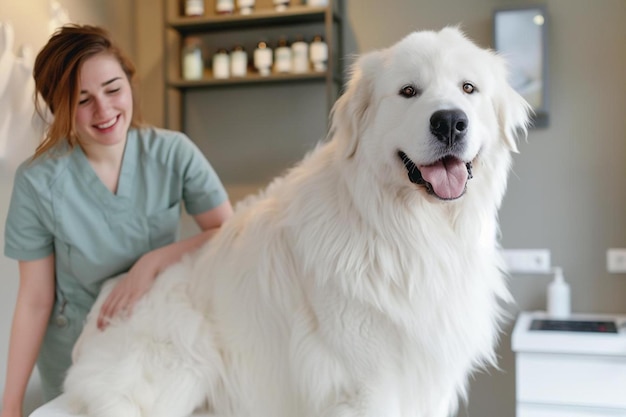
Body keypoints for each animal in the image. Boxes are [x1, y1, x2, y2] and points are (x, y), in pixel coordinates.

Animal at [63, 26, 528, 416]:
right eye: (409, 91)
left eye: (468, 88)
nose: (449, 121)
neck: (410, 232)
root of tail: (113, 289)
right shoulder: (366, 385)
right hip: (176, 372)